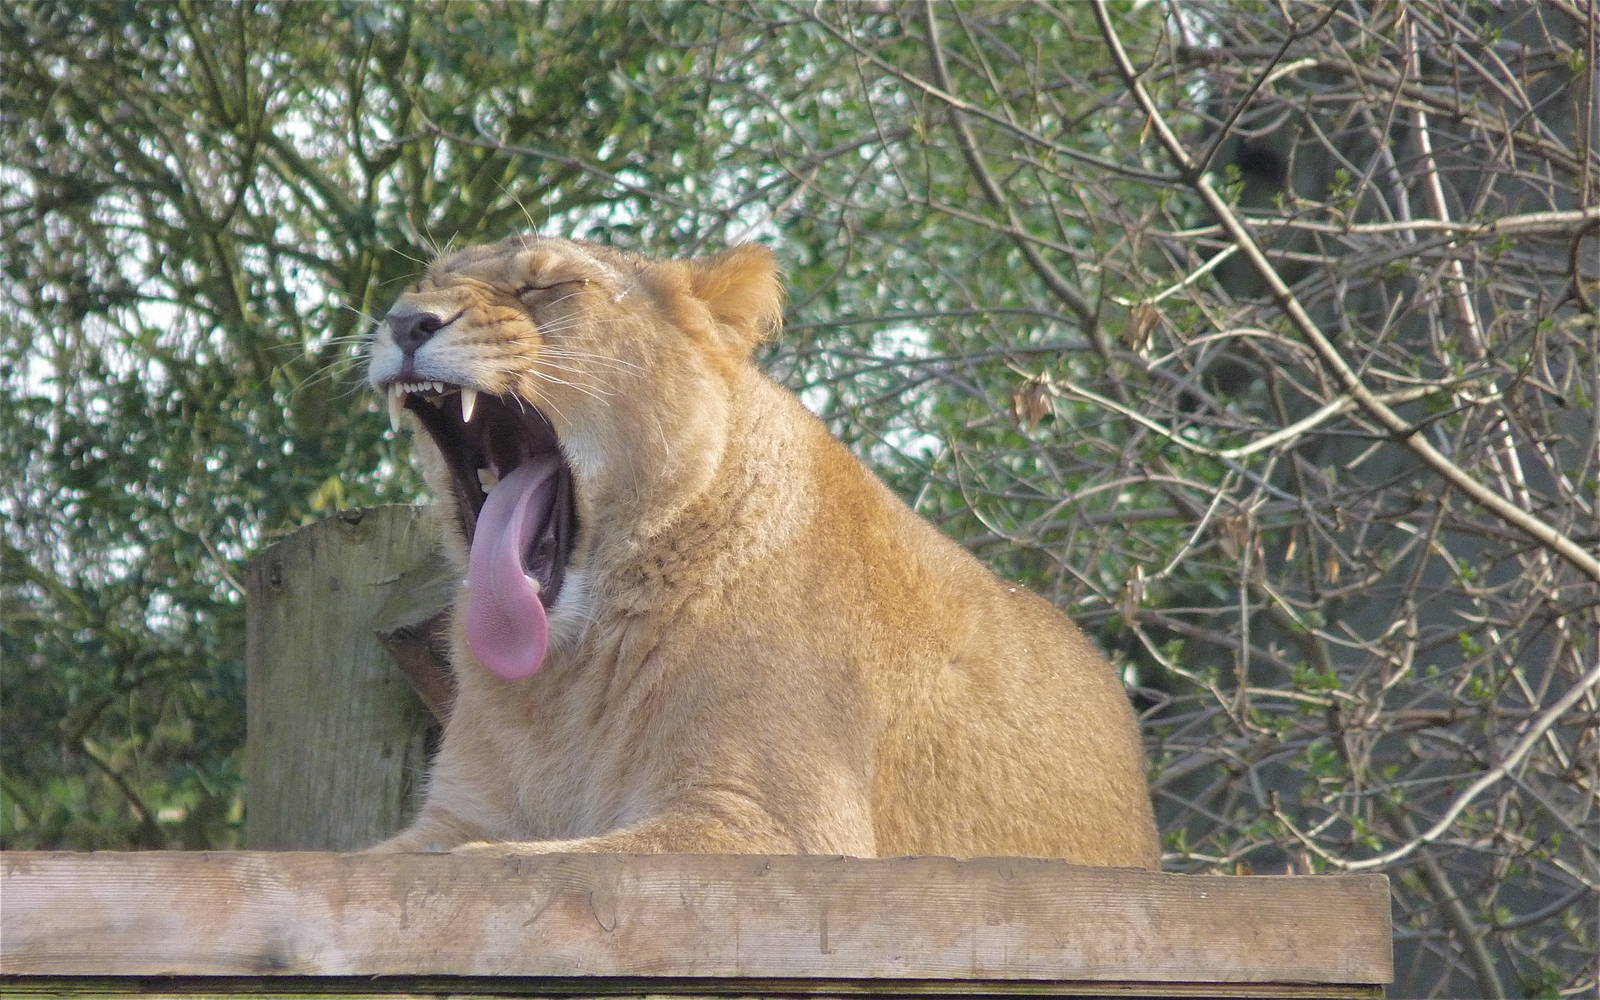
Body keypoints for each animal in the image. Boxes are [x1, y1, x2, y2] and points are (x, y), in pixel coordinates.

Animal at [364, 236, 1159, 867]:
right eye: (425, 282)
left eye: (546, 286)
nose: (405, 322)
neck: (564, 675)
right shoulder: (461, 811)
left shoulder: (779, 825)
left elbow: (518, 859)